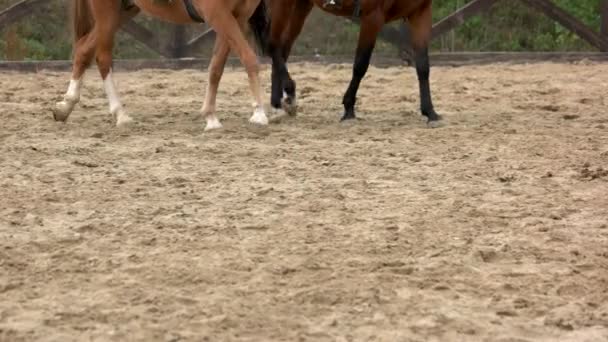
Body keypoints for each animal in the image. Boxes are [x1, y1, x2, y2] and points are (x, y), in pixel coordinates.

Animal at [53, 0, 270, 130]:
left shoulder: (238, 16)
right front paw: (259, 113)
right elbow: (250, 59)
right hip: (107, 9)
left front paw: (210, 117)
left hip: (125, 9)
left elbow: (216, 67)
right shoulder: (217, 13)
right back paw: (120, 114)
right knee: (103, 57)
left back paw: (65, 107)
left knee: (84, 49)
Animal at [266, 0, 442, 125]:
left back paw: (278, 103)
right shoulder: (373, 17)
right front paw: (348, 110)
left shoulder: (420, 12)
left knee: (283, 48)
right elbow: (361, 64)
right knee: (273, 44)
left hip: (301, 6)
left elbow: (423, 66)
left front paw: (430, 113)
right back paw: (289, 93)